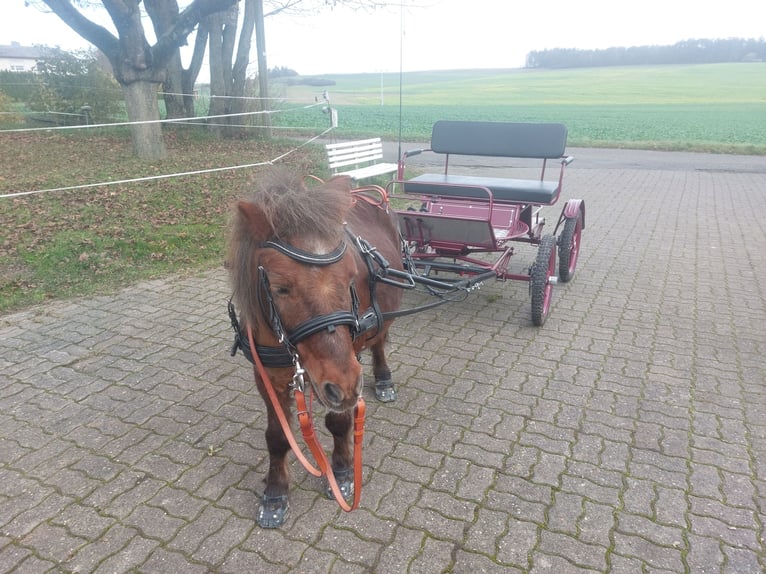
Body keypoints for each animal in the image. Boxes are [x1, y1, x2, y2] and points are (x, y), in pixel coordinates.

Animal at [227, 169, 403, 528]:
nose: (345, 385)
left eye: (352, 277)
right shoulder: (267, 376)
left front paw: (342, 471)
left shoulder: (348, 367)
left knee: (379, 341)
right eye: (280, 288)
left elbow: (340, 423)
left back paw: (383, 378)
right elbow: (277, 436)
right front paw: (276, 492)